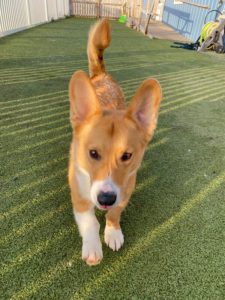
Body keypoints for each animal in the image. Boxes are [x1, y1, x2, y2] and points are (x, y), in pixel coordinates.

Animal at [68, 18, 162, 264]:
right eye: (93, 153)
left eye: (127, 156)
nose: (106, 198)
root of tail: (102, 75)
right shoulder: (79, 197)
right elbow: (90, 221)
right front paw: (93, 248)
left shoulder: (125, 189)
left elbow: (114, 213)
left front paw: (113, 233)